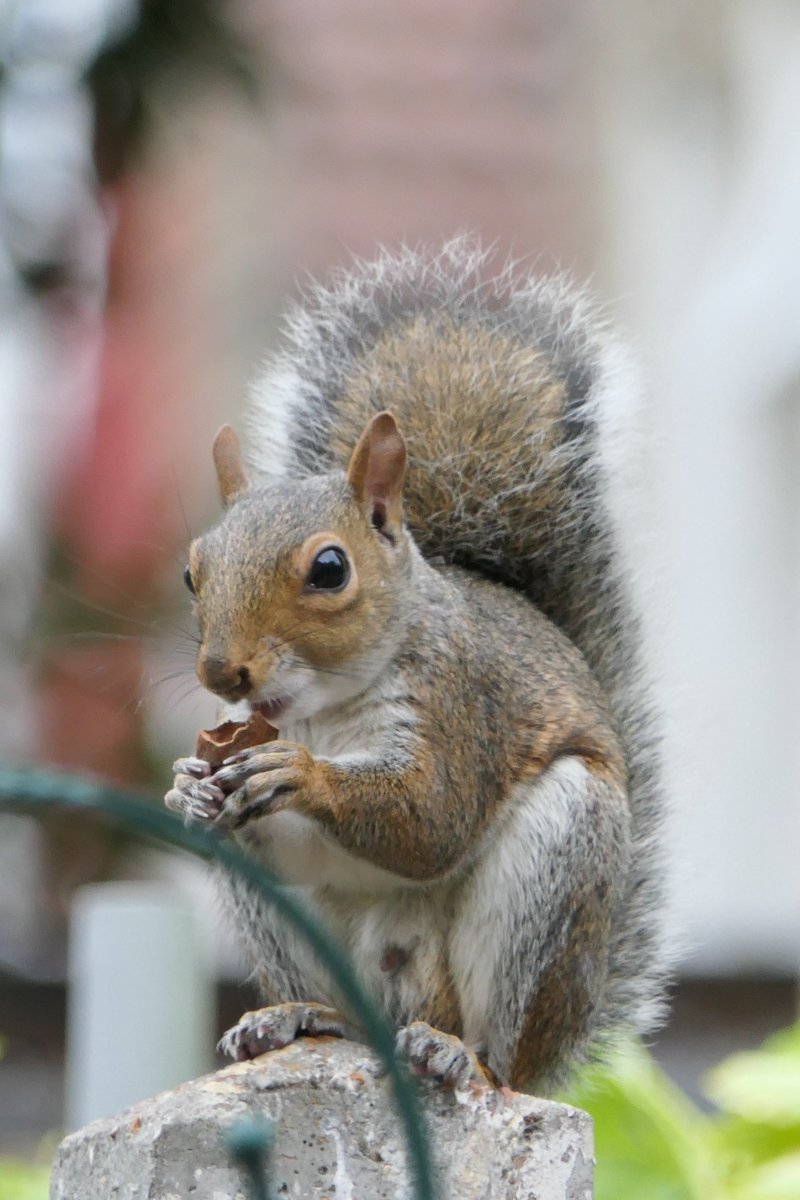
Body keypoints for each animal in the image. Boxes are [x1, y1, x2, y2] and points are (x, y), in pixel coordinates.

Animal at [165, 238, 668, 1094]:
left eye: (330, 569)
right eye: (193, 573)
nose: (223, 674)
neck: (322, 712)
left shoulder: (463, 702)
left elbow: (431, 820)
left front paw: (301, 775)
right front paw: (187, 789)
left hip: (558, 863)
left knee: (497, 1047)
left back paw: (462, 1054)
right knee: (337, 1006)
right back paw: (294, 1018)